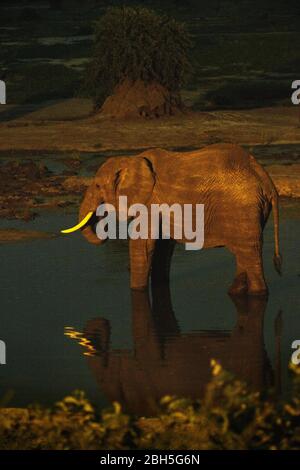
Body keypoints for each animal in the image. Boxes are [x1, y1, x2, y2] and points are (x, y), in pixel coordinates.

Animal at [77, 144, 282, 298]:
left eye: (97, 186)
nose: (101, 221)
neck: (132, 159)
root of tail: (266, 179)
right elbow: (162, 246)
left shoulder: (149, 201)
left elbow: (143, 245)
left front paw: (136, 292)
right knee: (243, 254)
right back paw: (233, 292)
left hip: (244, 209)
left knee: (249, 253)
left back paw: (257, 294)